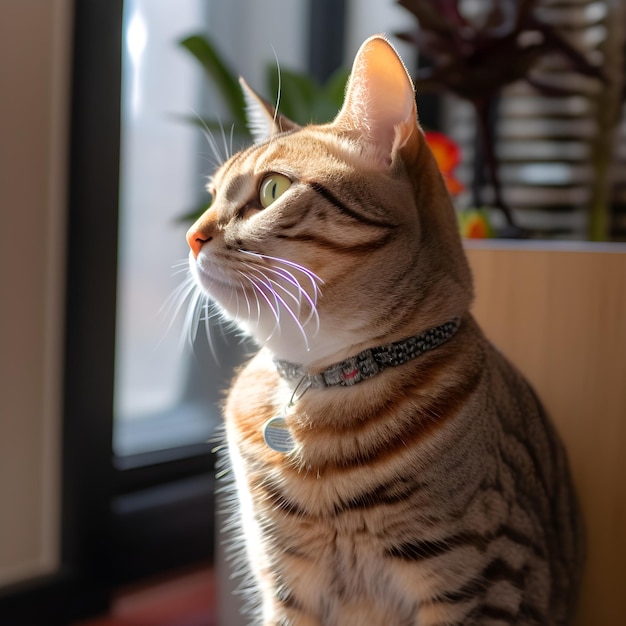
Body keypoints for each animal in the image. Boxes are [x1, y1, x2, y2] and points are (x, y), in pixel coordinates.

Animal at [184, 34, 580, 624]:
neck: (320, 384)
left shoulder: (487, 583)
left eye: (273, 189)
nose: (192, 235)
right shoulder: (283, 587)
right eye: (210, 196)